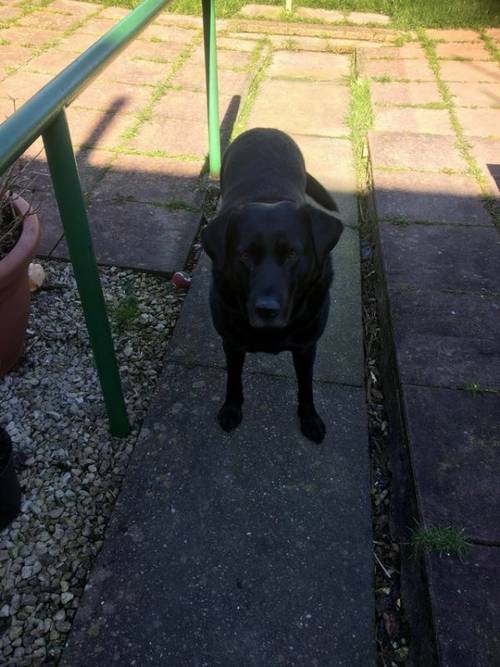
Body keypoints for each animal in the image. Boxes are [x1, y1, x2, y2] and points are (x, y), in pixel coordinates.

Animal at [201, 129, 342, 444]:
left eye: (291, 254)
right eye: (244, 256)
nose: (266, 310)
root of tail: (263, 129)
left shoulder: (306, 346)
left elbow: (306, 386)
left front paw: (310, 418)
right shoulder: (232, 342)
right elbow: (233, 379)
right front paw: (231, 408)